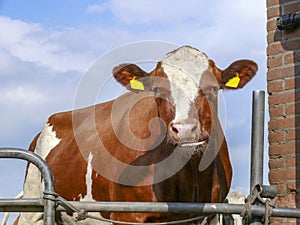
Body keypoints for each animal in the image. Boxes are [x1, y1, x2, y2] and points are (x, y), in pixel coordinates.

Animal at [14, 46, 258, 225]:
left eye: (214, 88)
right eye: (158, 90)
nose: (185, 130)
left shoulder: (208, 215)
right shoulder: (127, 214)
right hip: (33, 208)